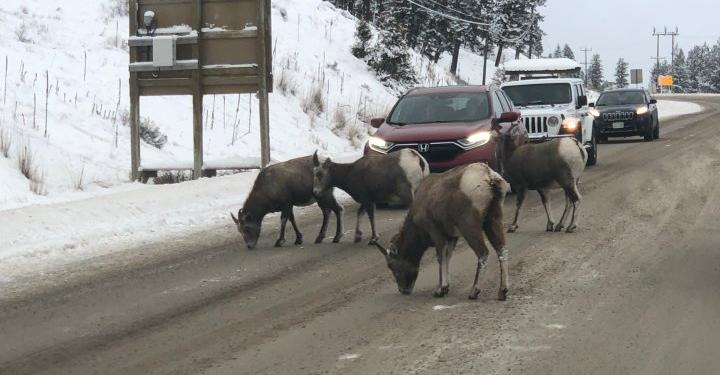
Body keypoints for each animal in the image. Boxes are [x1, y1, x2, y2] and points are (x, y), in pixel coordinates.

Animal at [374, 163, 510, 302]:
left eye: (392, 265)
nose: (403, 290)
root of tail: (489, 177)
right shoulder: (451, 237)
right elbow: (447, 256)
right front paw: (446, 288)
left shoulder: (436, 233)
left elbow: (441, 258)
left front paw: (440, 290)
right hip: (493, 220)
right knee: (501, 250)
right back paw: (502, 292)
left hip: (470, 227)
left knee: (483, 253)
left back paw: (474, 292)